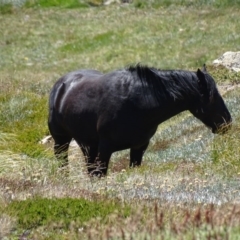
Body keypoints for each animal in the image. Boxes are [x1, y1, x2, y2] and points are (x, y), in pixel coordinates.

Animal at [48, 64, 231, 175]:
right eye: (212, 97)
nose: (227, 123)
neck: (138, 102)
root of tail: (61, 85)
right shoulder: (105, 148)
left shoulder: (139, 147)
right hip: (61, 141)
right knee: (63, 164)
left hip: (87, 145)